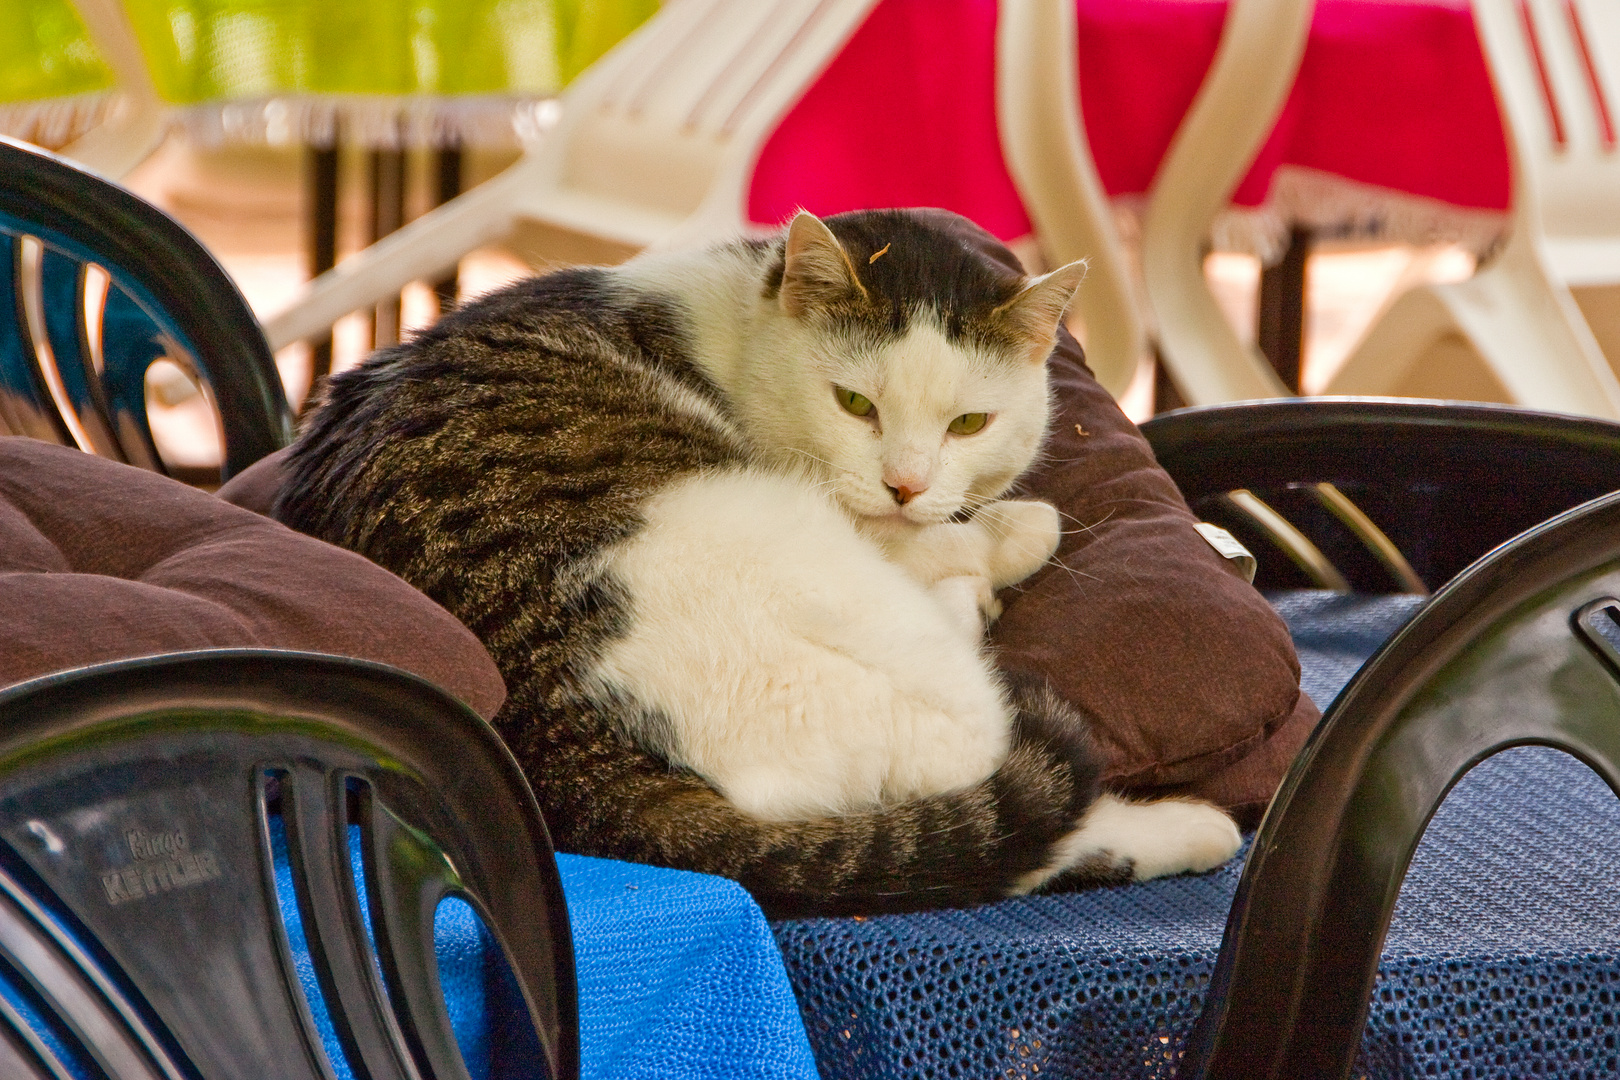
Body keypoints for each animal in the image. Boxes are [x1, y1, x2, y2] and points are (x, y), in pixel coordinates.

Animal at [275, 207, 1237, 919]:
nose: (905, 483)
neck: (736, 323)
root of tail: (556, 739)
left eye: (969, 423)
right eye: (854, 404)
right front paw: (1008, 534)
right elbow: (975, 533)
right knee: (982, 770)